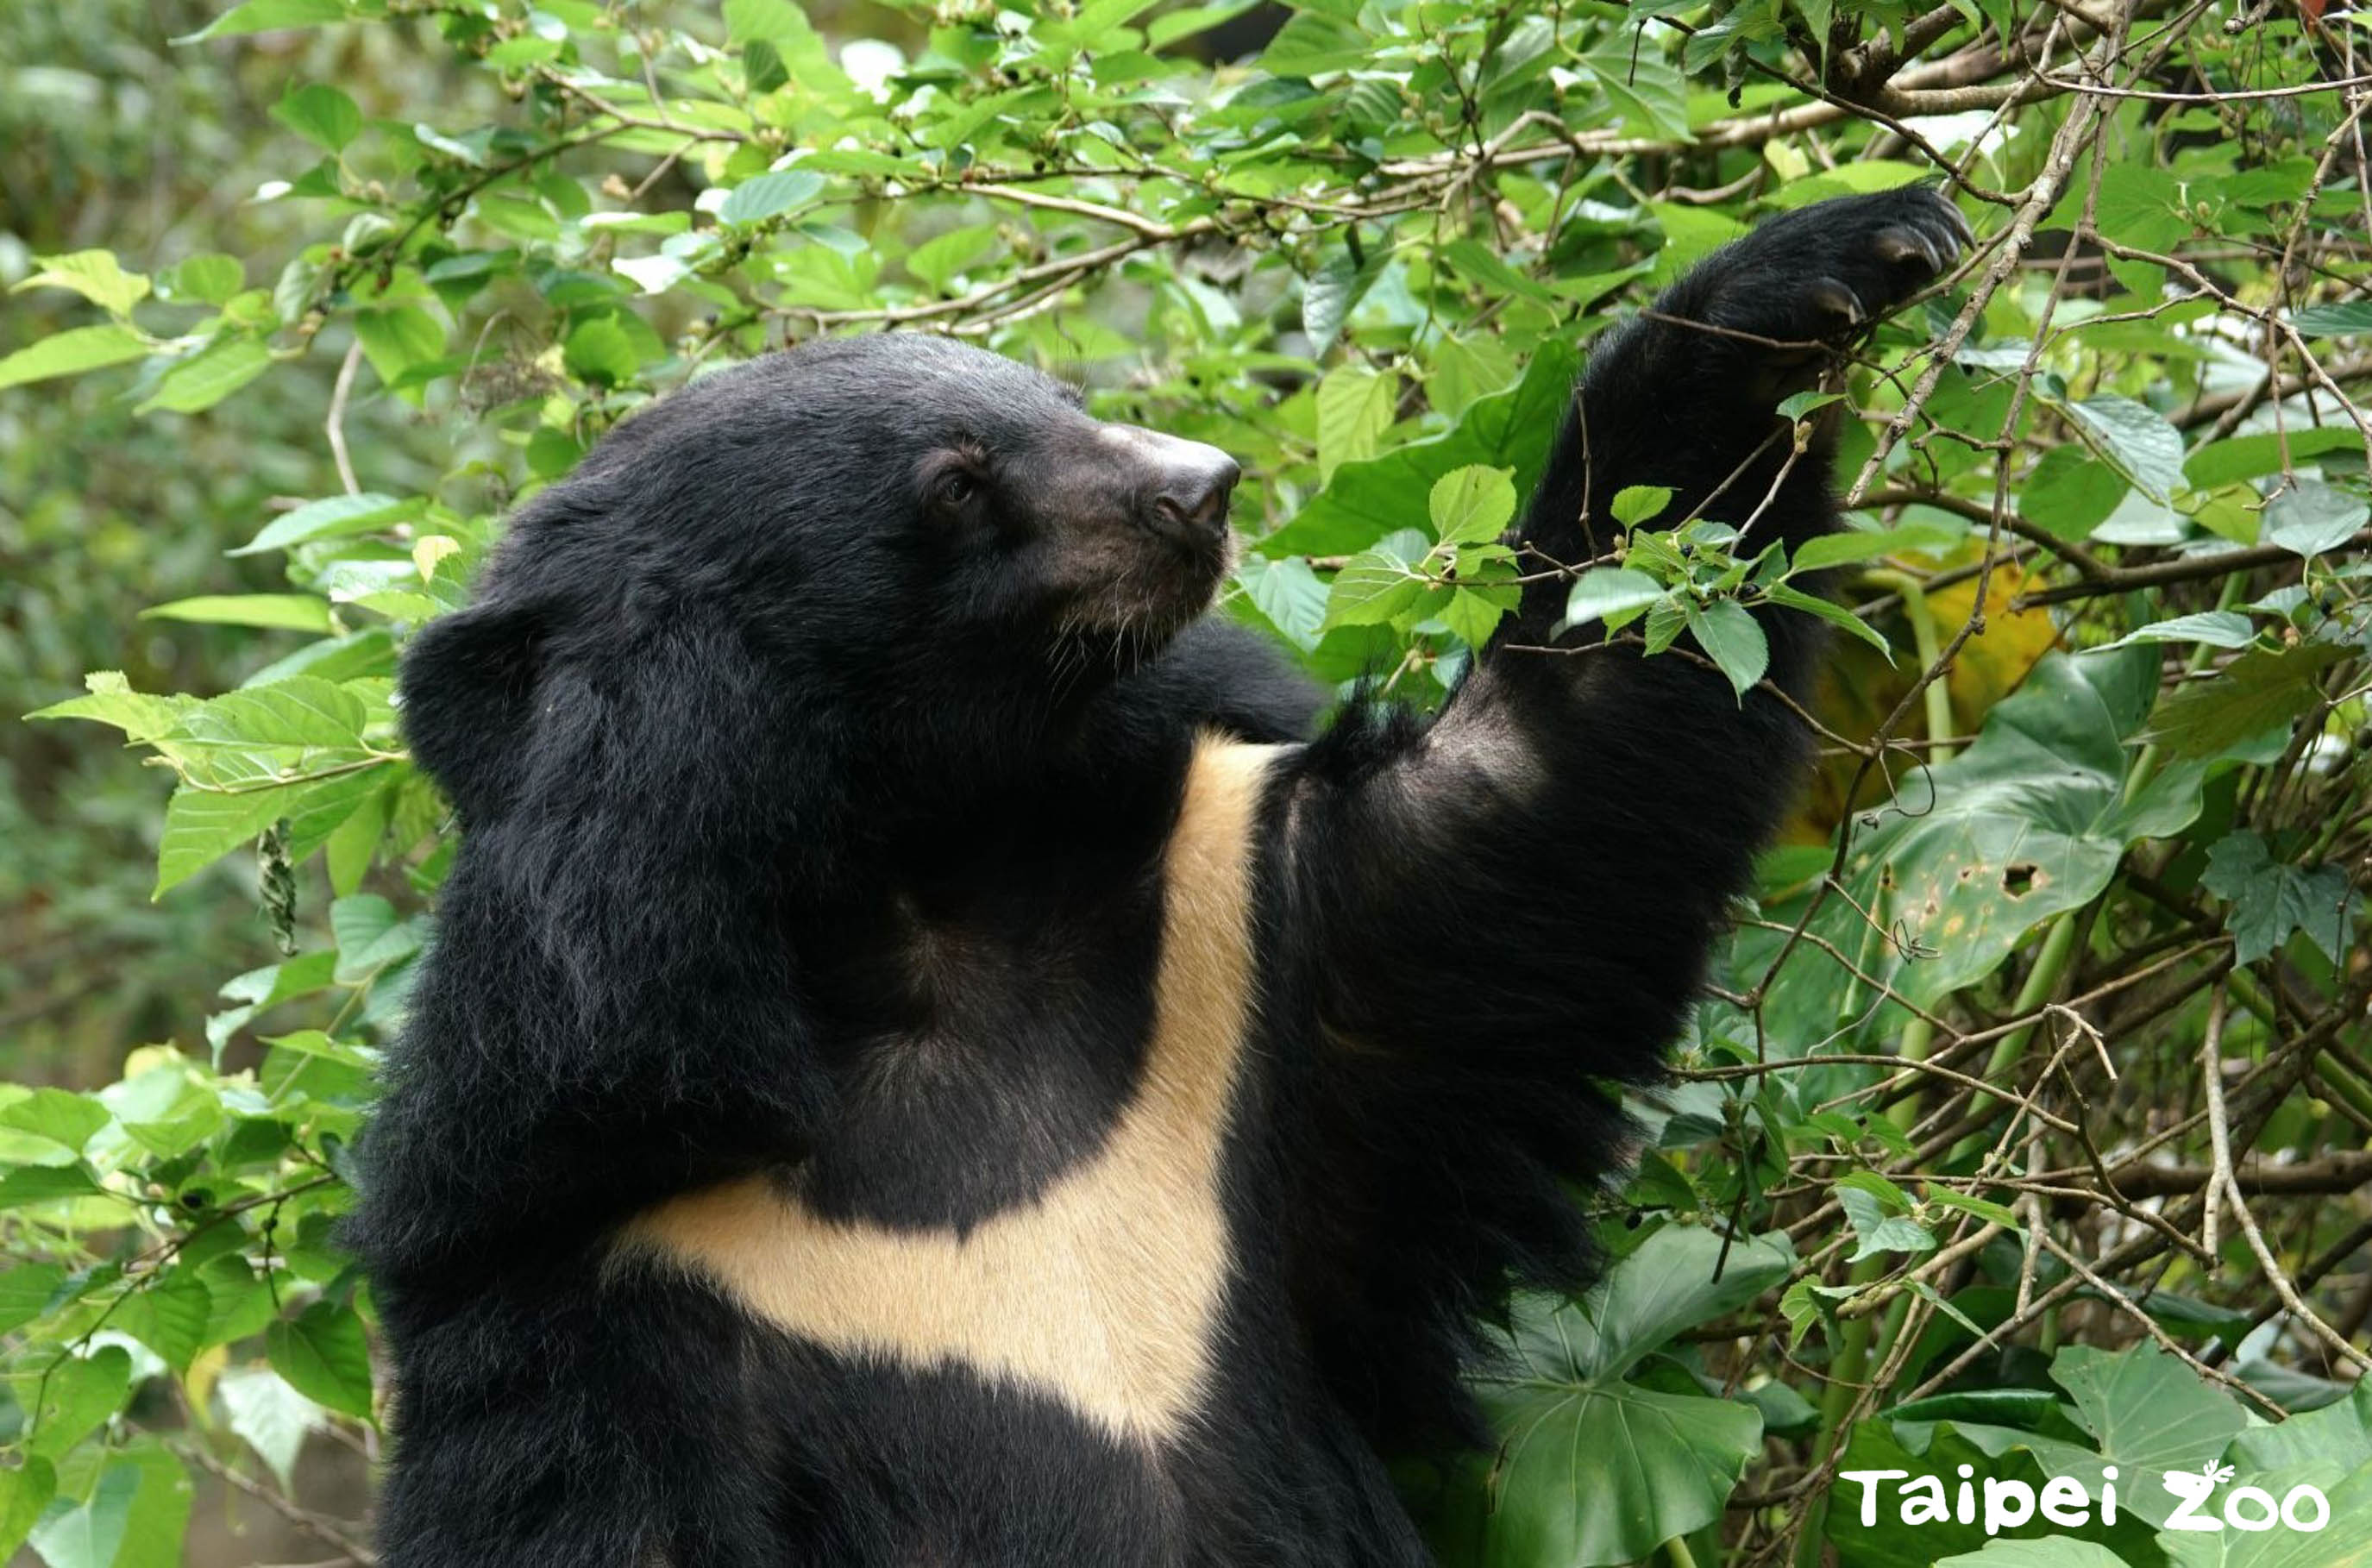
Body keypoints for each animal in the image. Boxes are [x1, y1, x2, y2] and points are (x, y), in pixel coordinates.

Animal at [351, 191, 1974, 1565]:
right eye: (958, 481)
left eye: (1056, 395)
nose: (1202, 483)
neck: (912, 886)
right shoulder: (587, 1253)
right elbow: (595, 1510)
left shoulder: (1237, 941)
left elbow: (1534, 773)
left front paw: (1836, 265)